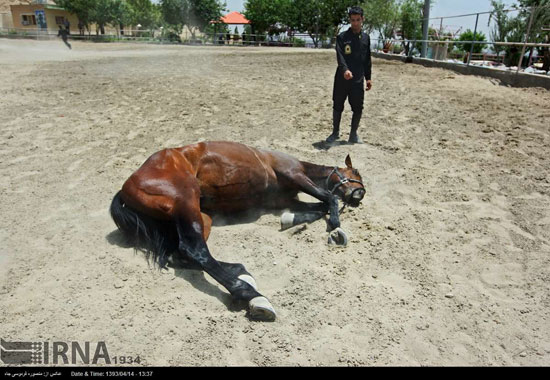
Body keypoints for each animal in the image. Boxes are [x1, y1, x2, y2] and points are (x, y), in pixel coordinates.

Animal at [110, 141, 366, 320]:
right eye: (355, 174)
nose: (360, 194)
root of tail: (126, 187)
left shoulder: (281, 199)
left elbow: (317, 207)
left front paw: (292, 220)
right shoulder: (295, 175)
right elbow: (329, 198)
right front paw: (336, 227)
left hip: (199, 217)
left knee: (182, 254)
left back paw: (241, 272)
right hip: (186, 201)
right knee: (194, 250)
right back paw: (250, 295)